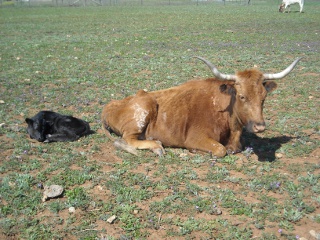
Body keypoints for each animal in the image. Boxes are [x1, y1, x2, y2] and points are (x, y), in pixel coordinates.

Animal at [102, 57, 302, 157]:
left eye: (263, 97)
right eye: (242, 96)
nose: (259, 126)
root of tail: (110, 105)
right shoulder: (196, 137)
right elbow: (221, 150)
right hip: (144, 108)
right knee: (128, 139)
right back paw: (156, 146)